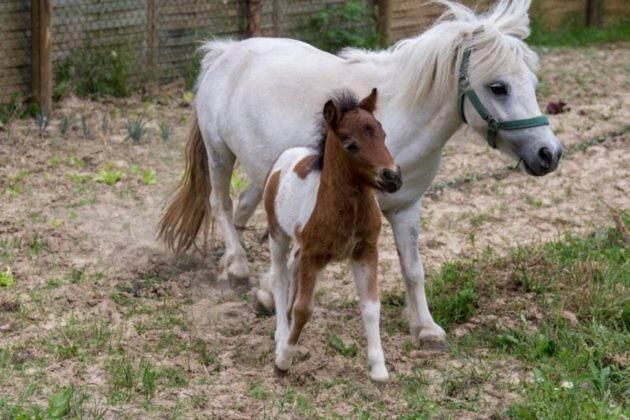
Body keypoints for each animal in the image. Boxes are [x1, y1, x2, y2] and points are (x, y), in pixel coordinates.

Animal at [160, 1, 564, 346]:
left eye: (532, 84)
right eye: (498, 87)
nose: (550, 153)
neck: (396, 122)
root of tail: (224, 52)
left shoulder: (406, 207)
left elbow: (413, 269)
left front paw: (426, 328)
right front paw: (270, 296)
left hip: (263, 171)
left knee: (243, 208)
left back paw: (229, 268)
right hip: (219, 155)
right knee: (221, 204)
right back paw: (239, 267)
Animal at [262, 88, 402, 380]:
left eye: (383, 134)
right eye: (350, 144)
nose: (393, 177)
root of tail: (289, 153)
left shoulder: (365, 251)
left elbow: (371, 306)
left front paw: (378, 368)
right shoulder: (314, 256)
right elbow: (304, 309)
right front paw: (283, 361)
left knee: (292, 266)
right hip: (277, 234)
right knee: (279, 278)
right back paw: (281, 335)